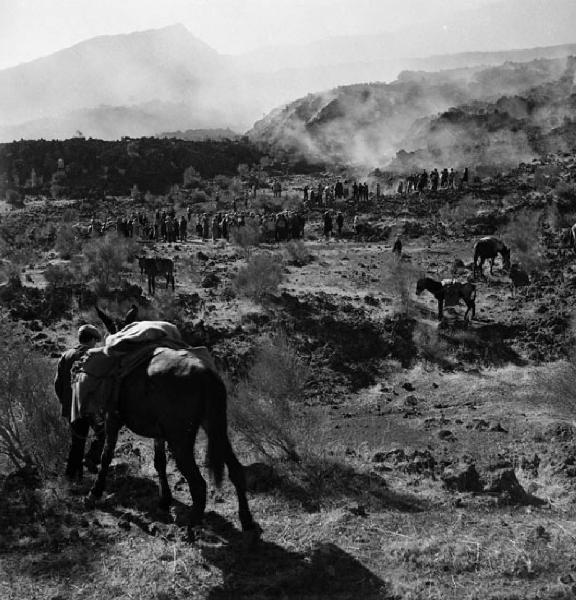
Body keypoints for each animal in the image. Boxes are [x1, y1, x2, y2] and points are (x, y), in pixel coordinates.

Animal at [93, 310, 260, 540]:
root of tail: (206, 374)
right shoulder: (159, 433)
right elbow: (159, 462)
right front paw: (165, 499)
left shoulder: (113, 418)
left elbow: (106, 455)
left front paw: (96, 491)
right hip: (216, 427)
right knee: (235, 470)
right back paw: (246, 520)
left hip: (181, 440)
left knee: (198, 484)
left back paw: (190, 529)